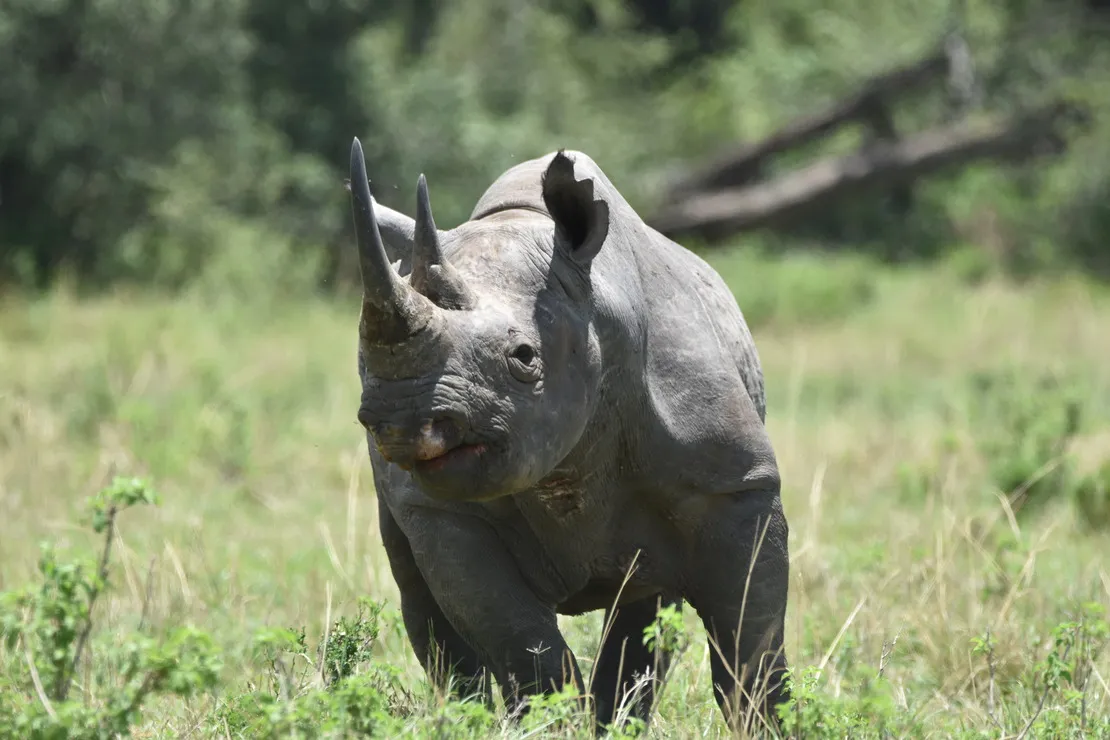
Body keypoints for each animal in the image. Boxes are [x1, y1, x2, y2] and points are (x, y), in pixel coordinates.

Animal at [346, 138, 791, 732]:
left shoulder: (736, 484)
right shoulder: (443, 512)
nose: (400, 417)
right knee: (421, 600)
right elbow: (519, 639)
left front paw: (768, 724)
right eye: (362, 364)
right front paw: (548, 723)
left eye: (523, 357)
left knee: (650, 603)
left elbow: (750, 638)